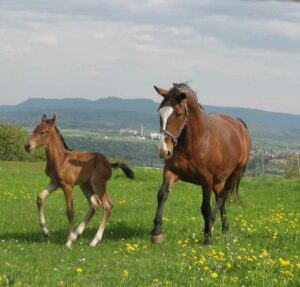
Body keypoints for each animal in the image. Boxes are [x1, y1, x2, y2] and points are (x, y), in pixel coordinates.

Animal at [24, 115, 135, 248]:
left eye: (42, 132)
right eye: (34, 130)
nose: (27, 146)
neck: (60, 159)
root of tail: (109, 163)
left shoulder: (67, 185)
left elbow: (70, 211)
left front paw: (67, 242)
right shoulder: (55, 182)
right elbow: (40, 197)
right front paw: (45, 232)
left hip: (98, 184)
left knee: (107, 205)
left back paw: (93, 240)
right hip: (85, 185)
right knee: (94, 204)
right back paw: (76, 234)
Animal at [150, 84, 251, 245]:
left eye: (178, 114)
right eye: (160, 112)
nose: (164, 150)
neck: (196, 142)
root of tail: (239, 124)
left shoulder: (206, 179)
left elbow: (205, 208)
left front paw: (207, 237)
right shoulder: (171, 171)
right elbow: (162, 195)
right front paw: (156, 233)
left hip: (234, 173)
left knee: (222, 197)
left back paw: (211, 226)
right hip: (217, 179)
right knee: (220, 196)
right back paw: (224, 228)